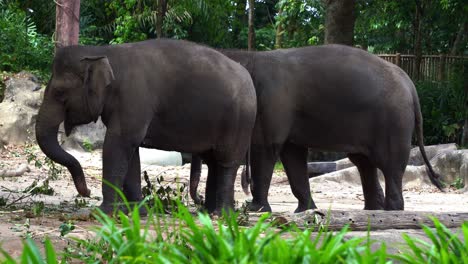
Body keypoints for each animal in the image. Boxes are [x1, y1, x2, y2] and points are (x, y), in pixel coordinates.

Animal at [34, 38, 256, 214]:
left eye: (60, 93)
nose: (87, 191)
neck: (103, 52)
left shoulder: (133, 98)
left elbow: (117, 144)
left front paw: (102, 213)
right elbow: (131, 153)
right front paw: (136, 211)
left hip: (239, 122)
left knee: (227, 162)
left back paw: (221, 215)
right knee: (214, 162)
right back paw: (209, 212)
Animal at [187, 44, 442, 212]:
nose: (199, 202)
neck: (248, 56)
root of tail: (410, 84)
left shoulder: (273, 104)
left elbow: (266, 148)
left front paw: (255, 209)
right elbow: (292, 155)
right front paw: (305, 211)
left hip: (393, 121)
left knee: (388, 164)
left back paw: (392, 210)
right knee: (364, 162)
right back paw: (373, 210)